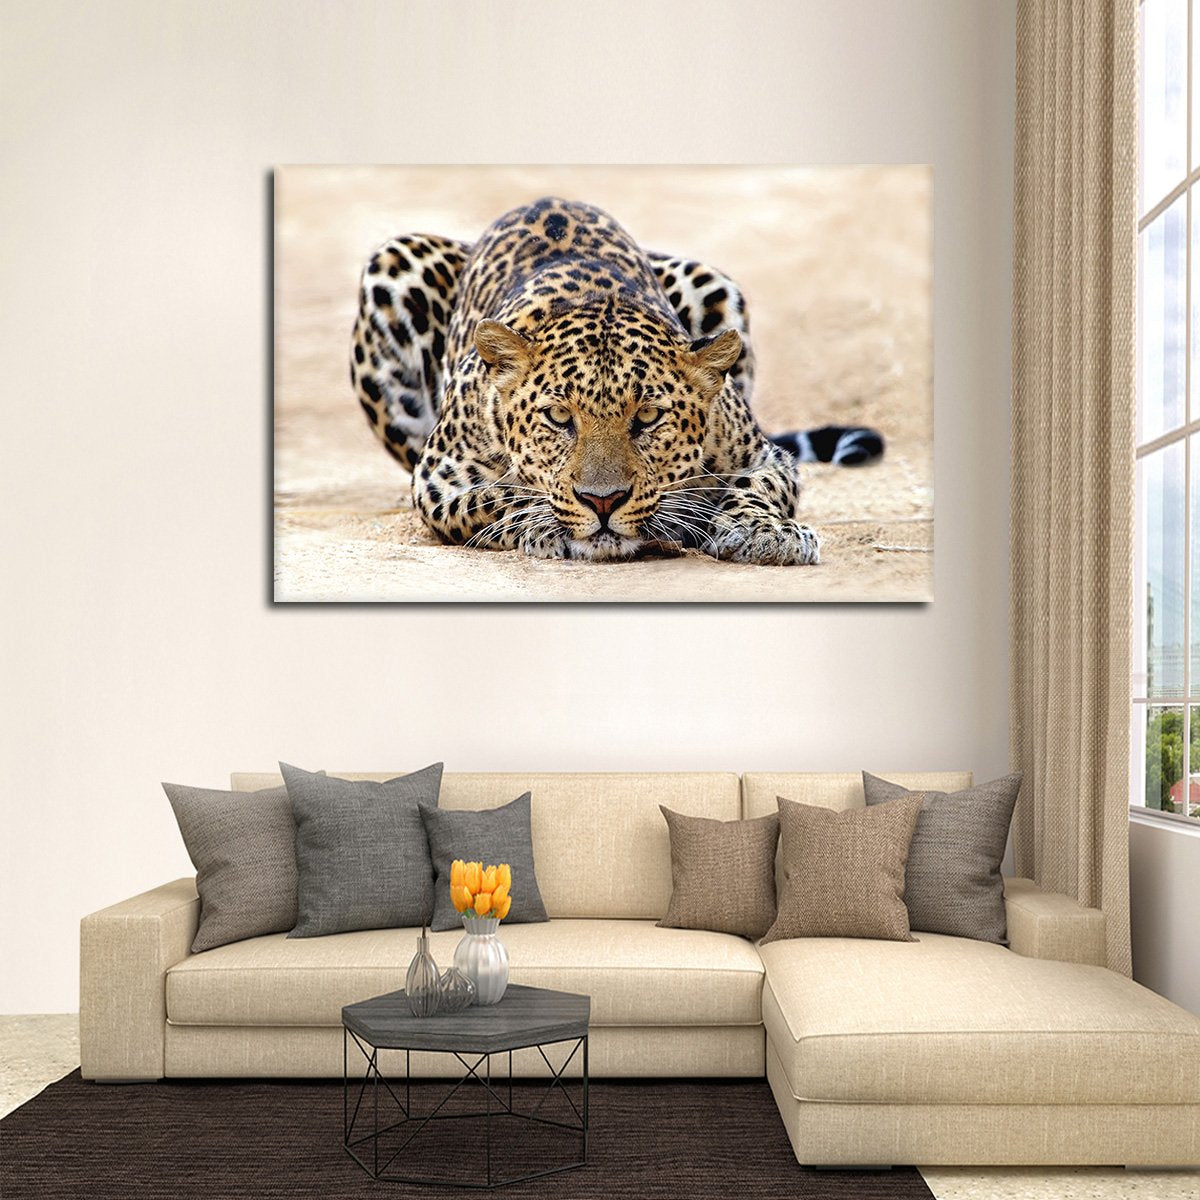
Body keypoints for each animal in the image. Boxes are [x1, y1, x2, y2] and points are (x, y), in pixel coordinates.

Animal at [350, 197, 883, 565]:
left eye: (647, 417)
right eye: (558, 417)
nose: (602, 502)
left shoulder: (765, 456)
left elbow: (755, 487)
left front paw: (765, 532)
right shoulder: (438, 478)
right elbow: (501, 495)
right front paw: (546, 524)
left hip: (710, 279)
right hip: (393, 264)